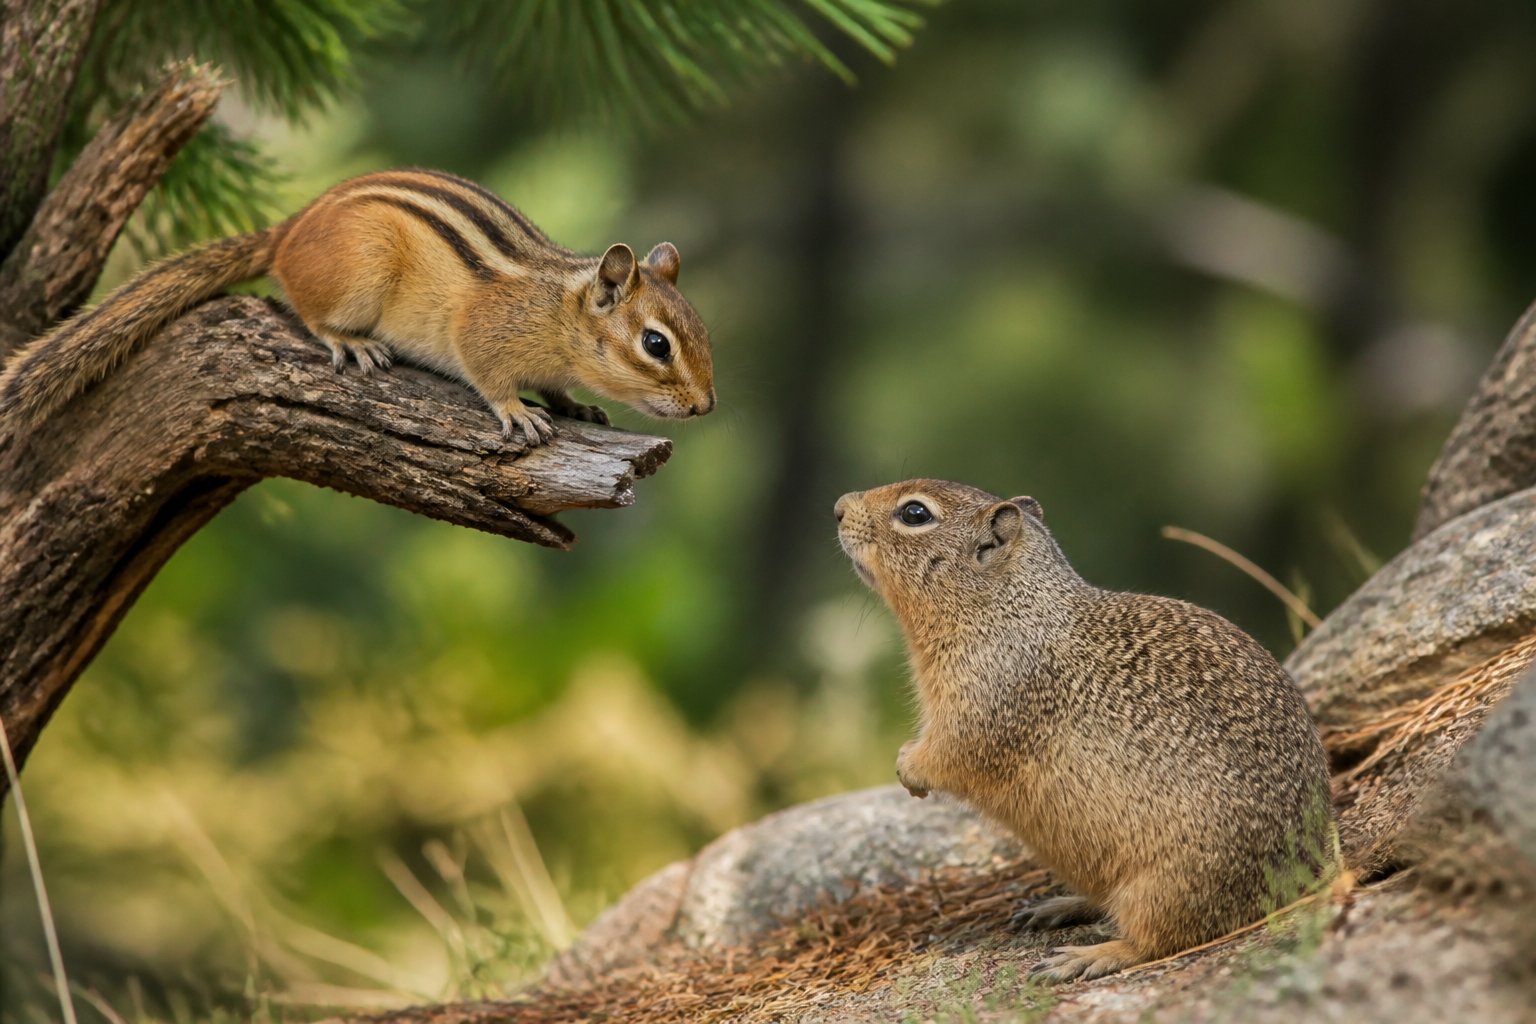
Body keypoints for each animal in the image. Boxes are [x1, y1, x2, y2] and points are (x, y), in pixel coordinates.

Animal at [0, 167, 716, 444]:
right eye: (656, 344)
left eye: (704, 333)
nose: (705, 406)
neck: (557, 309)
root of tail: (289, 231)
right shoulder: (484, 332)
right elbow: (489, 376)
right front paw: (518, 411)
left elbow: (562, 390)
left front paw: (574, 404)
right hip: (360, 270)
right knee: (310, 313)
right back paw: (351, 341)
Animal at [834, 479, 1339, 982]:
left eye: (915, 513)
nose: (839, 507)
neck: (1004, 611)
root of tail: (1305, 874)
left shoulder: (982, 709)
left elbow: (948, 753)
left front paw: (908, 768)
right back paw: (1054, 906)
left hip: (1168, 886)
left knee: (1158, 941)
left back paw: (1082, 957)